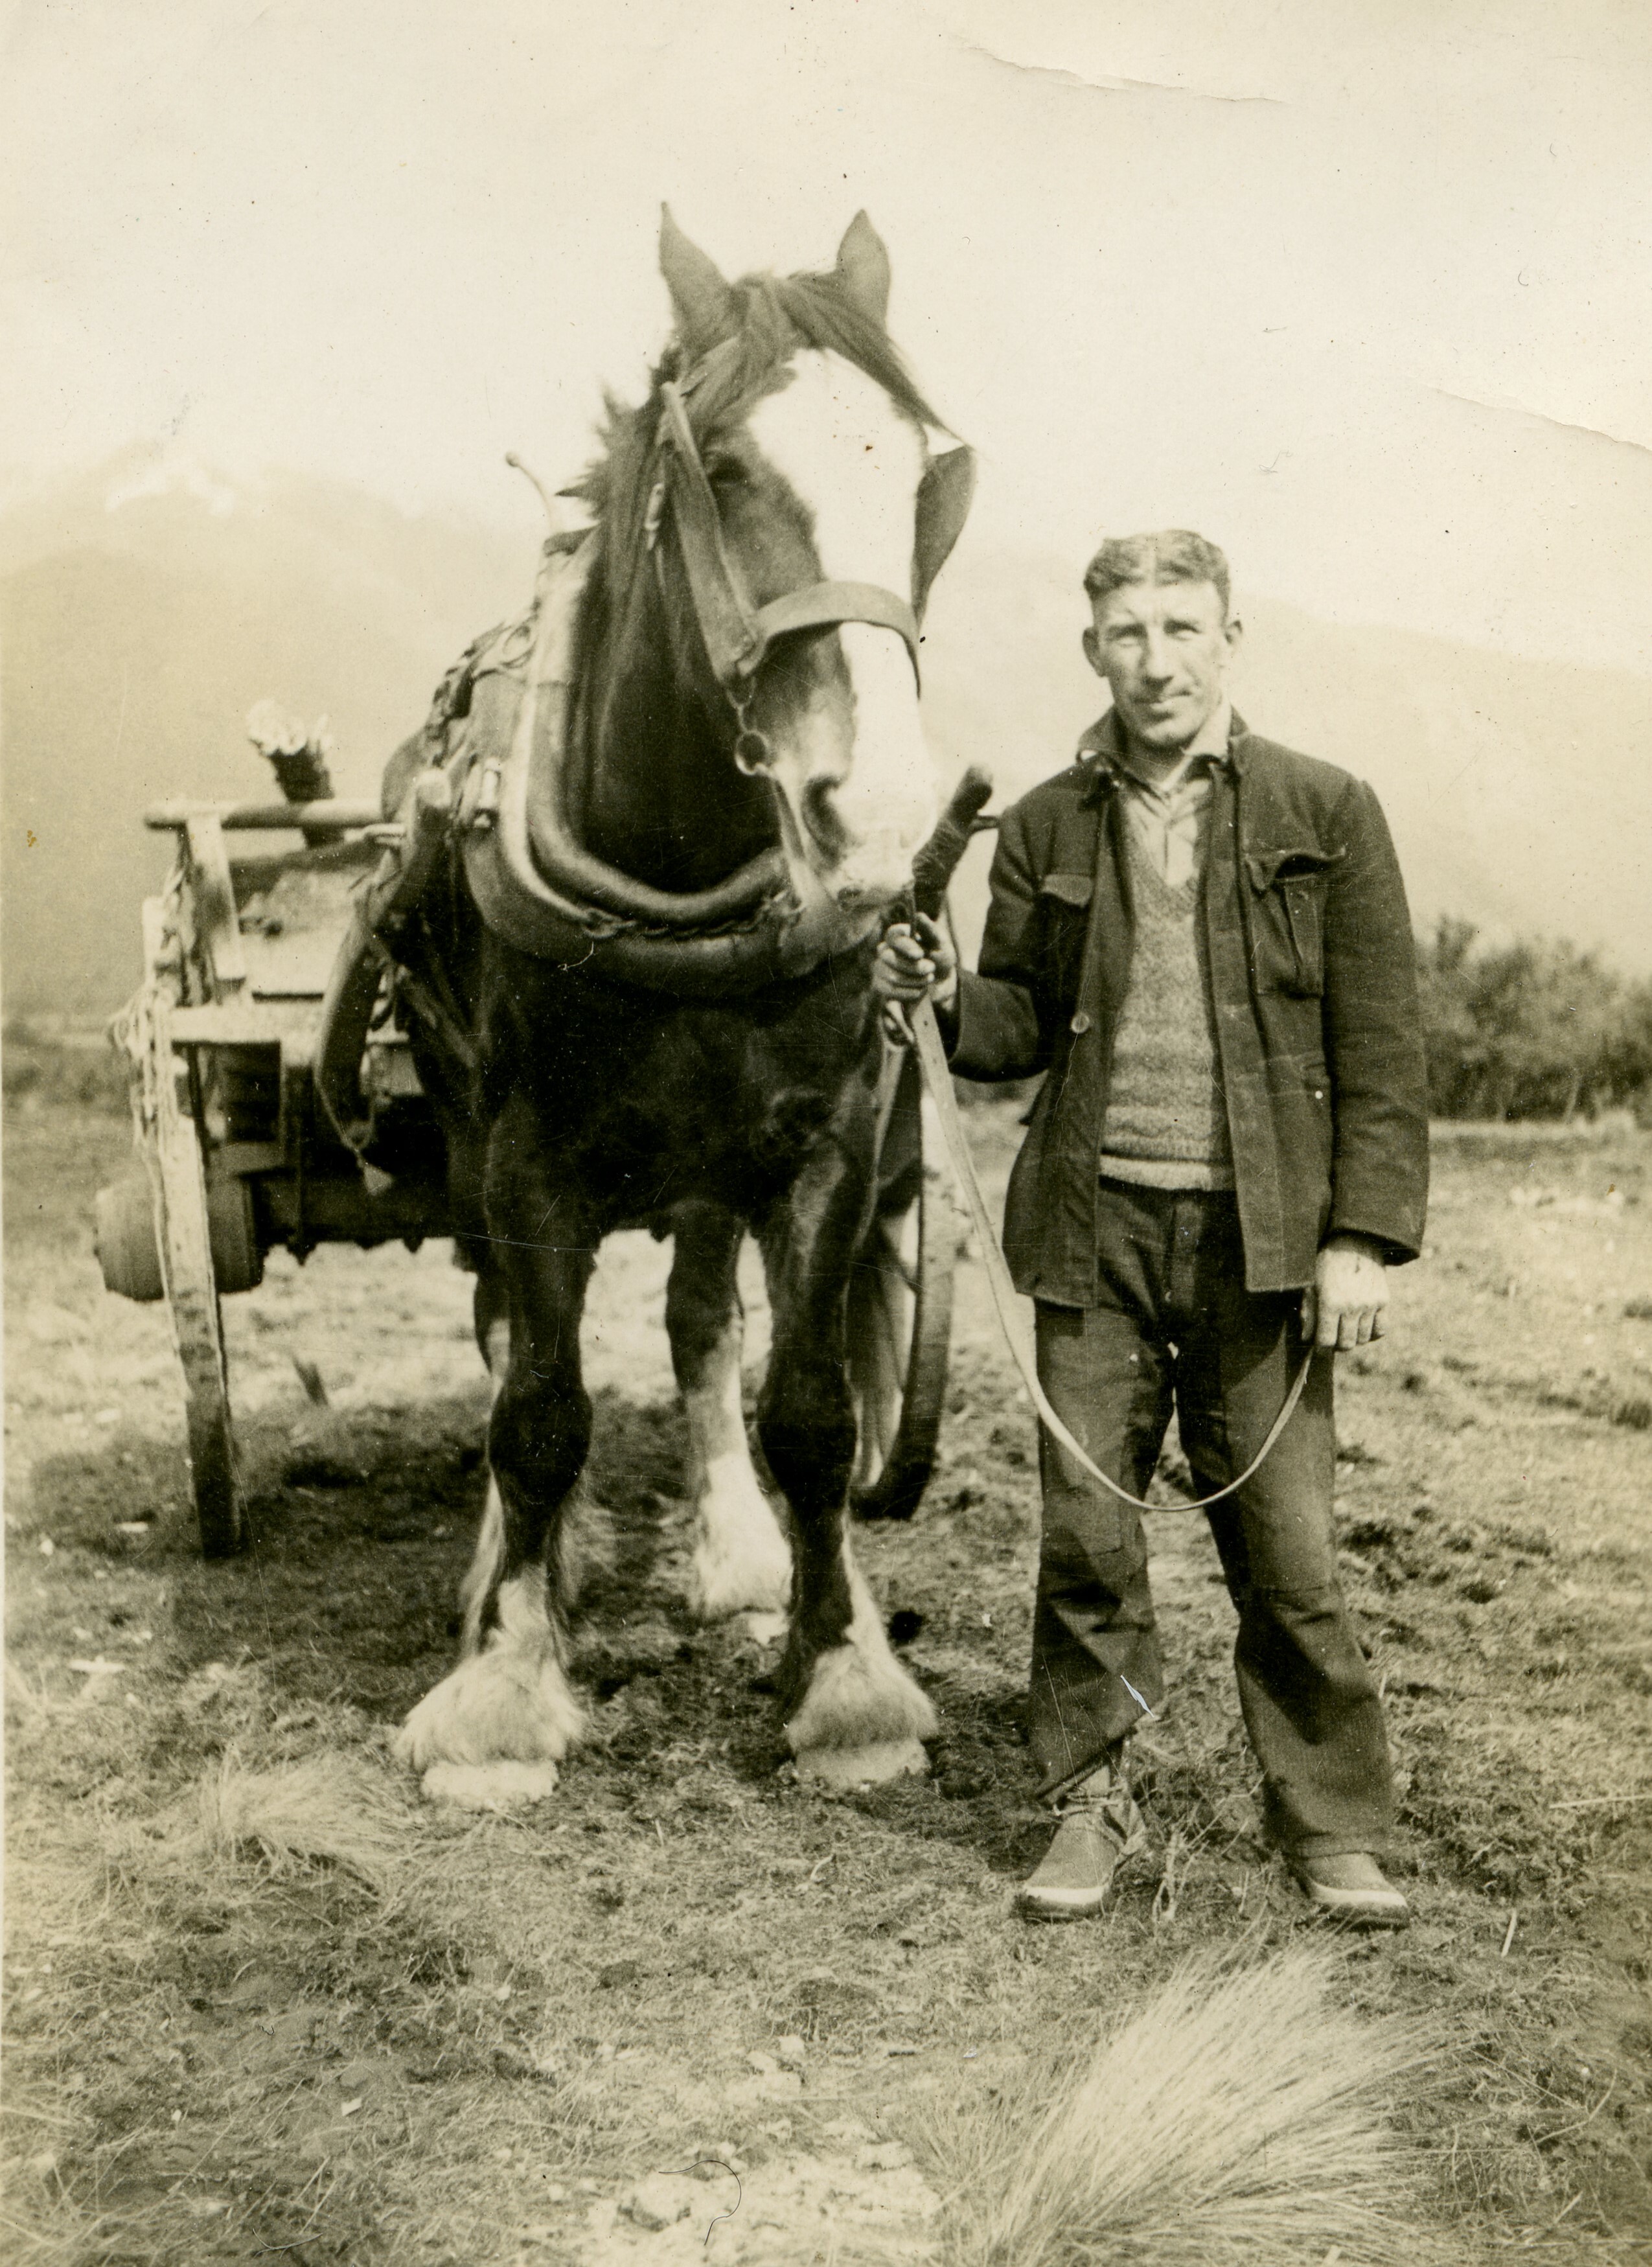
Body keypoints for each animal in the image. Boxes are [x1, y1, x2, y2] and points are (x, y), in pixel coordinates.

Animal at [387, 213, 979, 1804]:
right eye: (721, 466)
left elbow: (813, 1409)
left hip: (715, 1162)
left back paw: (734, 1545)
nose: (880, 819)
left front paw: (843, 1680)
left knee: (708, 1325)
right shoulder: (526, 1154)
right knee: (503, 1339)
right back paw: (509, 1578)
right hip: (468, 1134)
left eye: (926, 476)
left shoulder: (830, 1132)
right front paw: (507, 1685)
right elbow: (537, 1410)